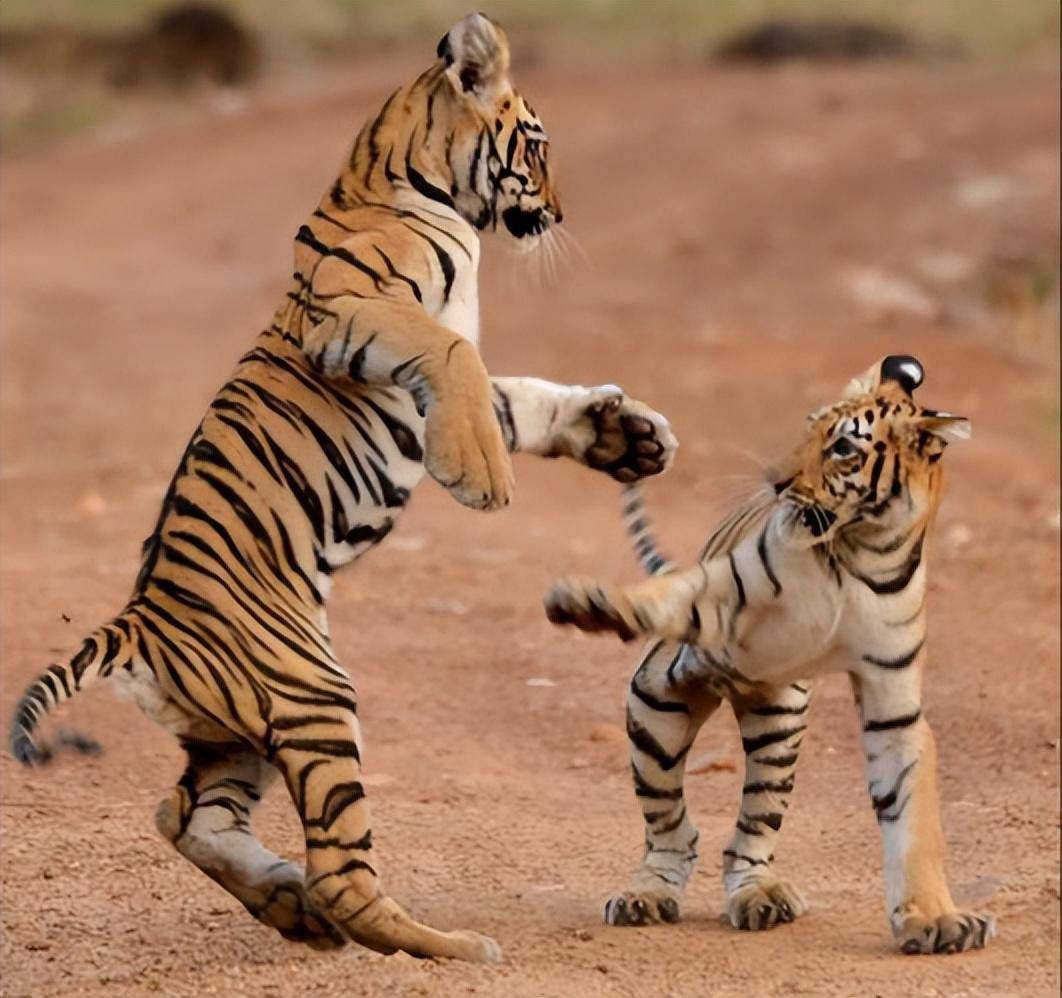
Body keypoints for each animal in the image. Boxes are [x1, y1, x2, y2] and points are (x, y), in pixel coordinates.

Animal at [10, 13, 671, 968]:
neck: (412, 182)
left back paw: (288, 907)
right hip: (314, 696)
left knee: (181, 815)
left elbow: (520, 397)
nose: (560, 214)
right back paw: (440, 942)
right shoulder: (355, 316)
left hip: (230, 738)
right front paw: (484, 480)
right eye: (538, 144)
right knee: (342, 872)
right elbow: (459, 357)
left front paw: (628, 438)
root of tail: (137, 623)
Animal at [547, 354, 994, 955]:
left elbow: (916, 823)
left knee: (752, 831)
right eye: (809, 427)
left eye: (843, 447)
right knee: (670, 825)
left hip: (778, 723)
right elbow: (663, 597)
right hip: (656, 706)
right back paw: (646, 895)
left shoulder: (894, 708)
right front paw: (589, 602)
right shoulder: (720, 596)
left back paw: (761, 897)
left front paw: (935, 920)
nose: (774, 480)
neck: (860, 549)